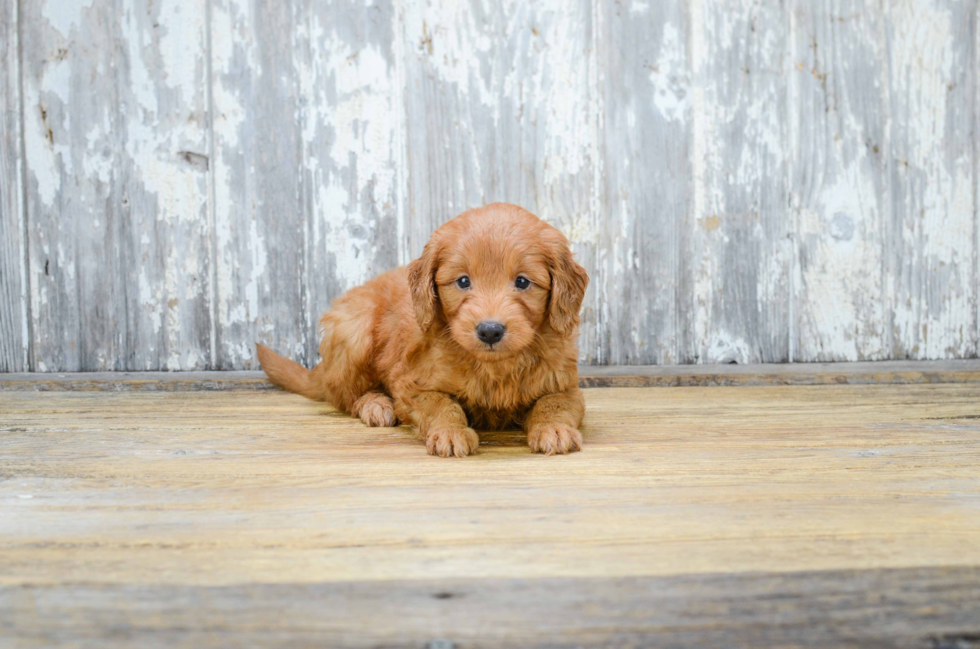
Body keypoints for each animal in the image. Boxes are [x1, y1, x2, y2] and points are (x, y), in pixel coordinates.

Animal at [255, 202, 588, 456]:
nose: (490, 331)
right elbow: (441, 404)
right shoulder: (411, 385)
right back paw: (375, 404)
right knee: (343, 394)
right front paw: (451, 432)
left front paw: (554, 428)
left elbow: (553, 402)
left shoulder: (566, 385)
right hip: (354, 330)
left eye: (522, 281)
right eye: (463, 281)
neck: (493, 367)